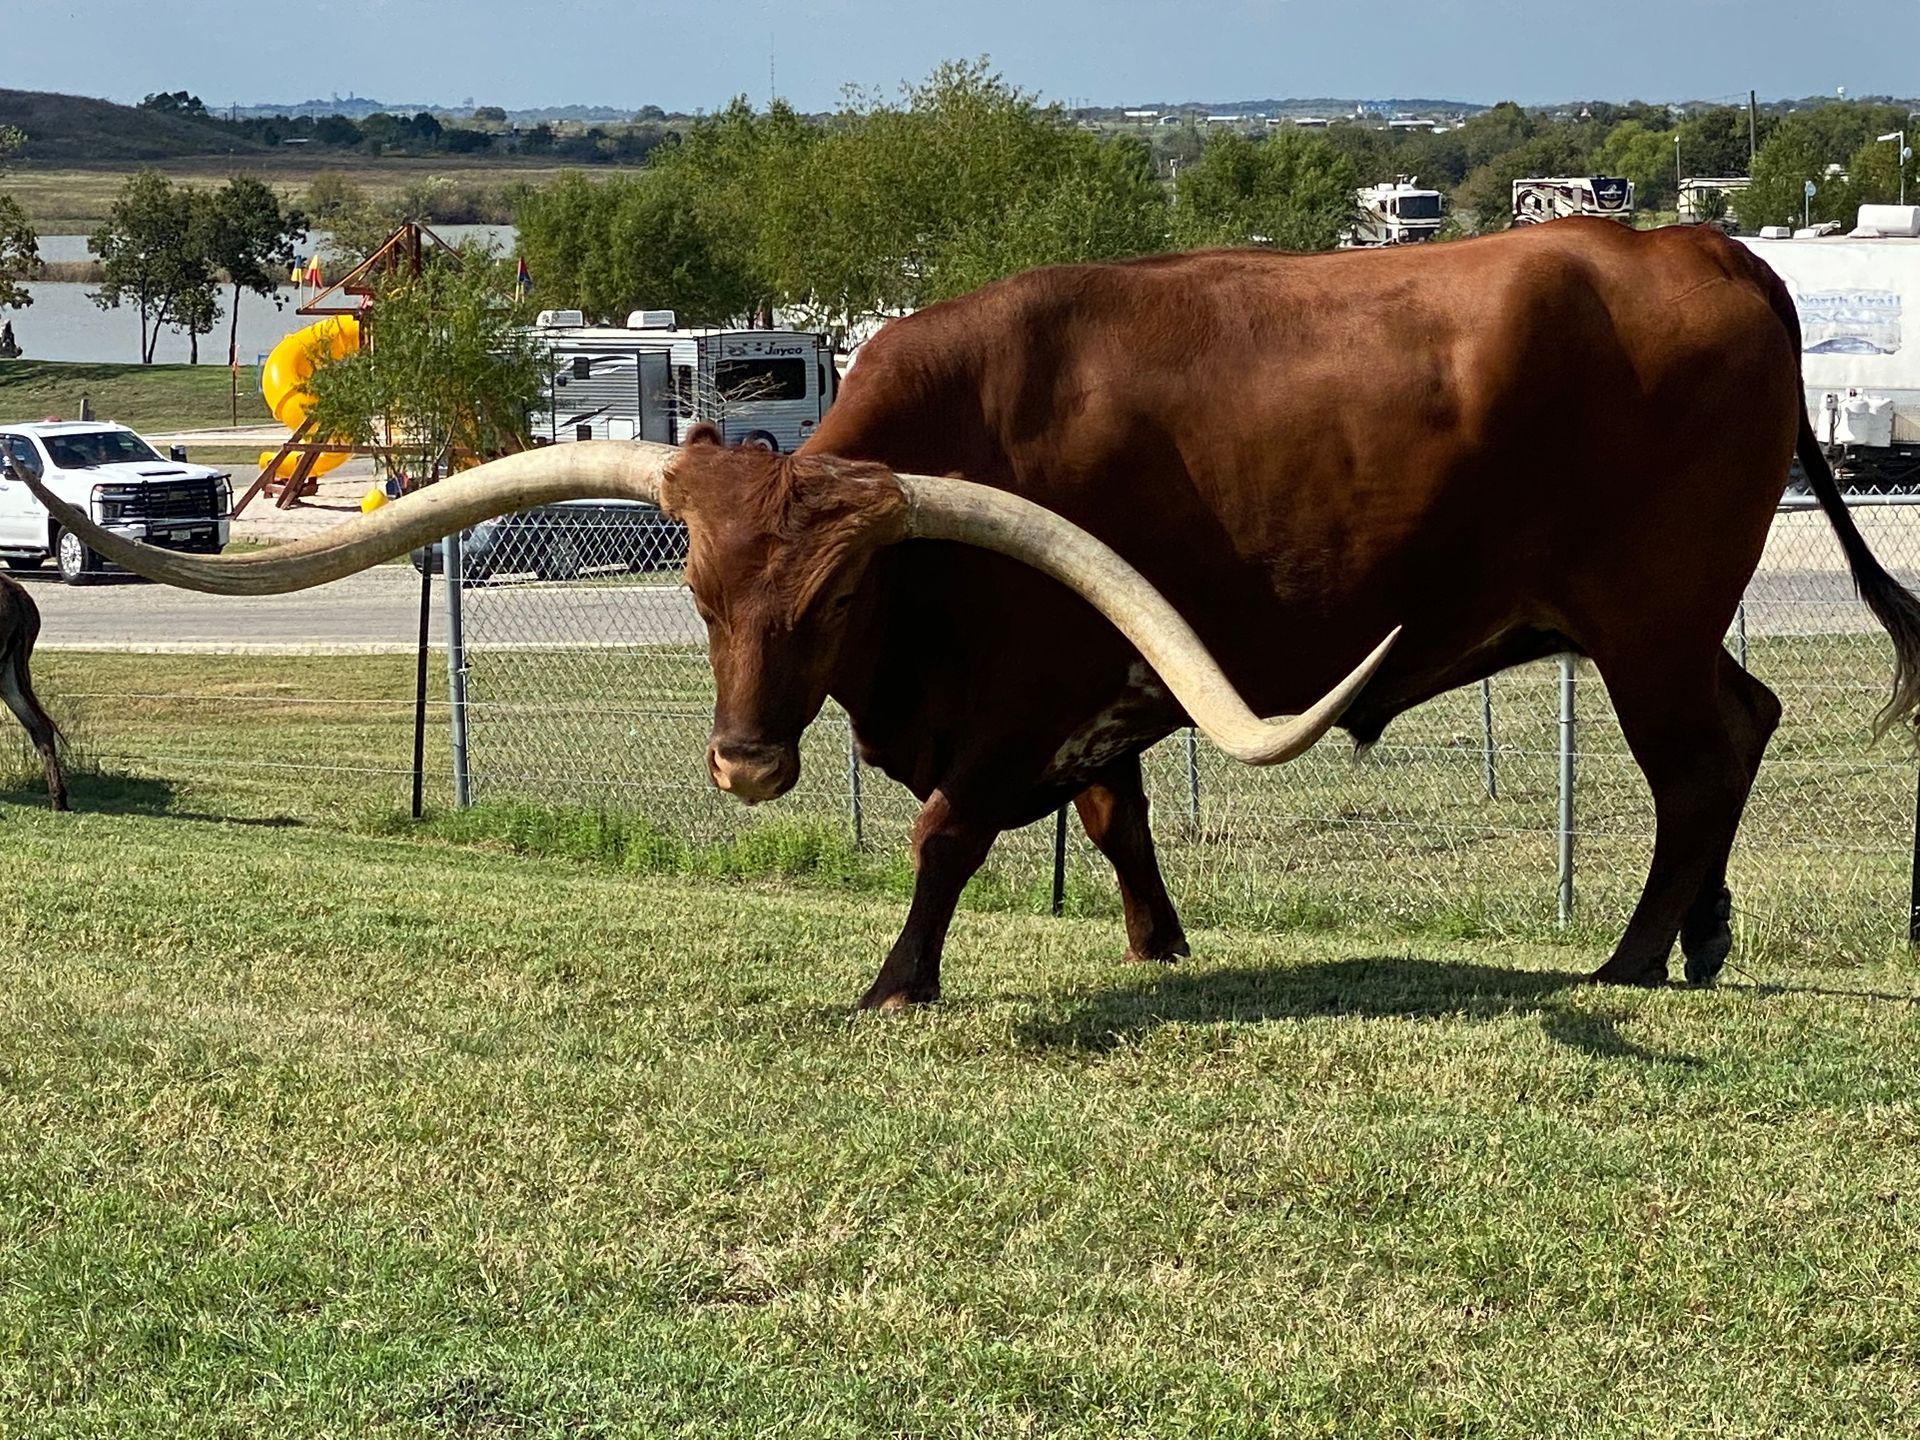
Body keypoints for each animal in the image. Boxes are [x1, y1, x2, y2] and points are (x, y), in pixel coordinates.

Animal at [27, 219, 1920, 1010]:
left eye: (837, 592)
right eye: (699, 589)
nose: (742, 766)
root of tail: (1717, 252)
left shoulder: (1025, 693)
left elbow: (949, 831)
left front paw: (894, 982)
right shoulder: (1097, 701)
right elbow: (1120, 823)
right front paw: (1159, 950)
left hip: (1647, 618)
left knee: (1699, 763)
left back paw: (1640, 953)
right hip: (1663, 622)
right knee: (1735, 737)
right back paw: (1700, 943)